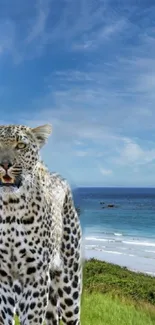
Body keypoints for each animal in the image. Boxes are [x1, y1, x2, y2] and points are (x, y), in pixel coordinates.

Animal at [0, 123, 82, 324]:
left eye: (21, 145)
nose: (4, 165)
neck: (11, 206)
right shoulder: (3, 276)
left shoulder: (35, 276)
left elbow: (33, 317)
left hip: (70, 287)